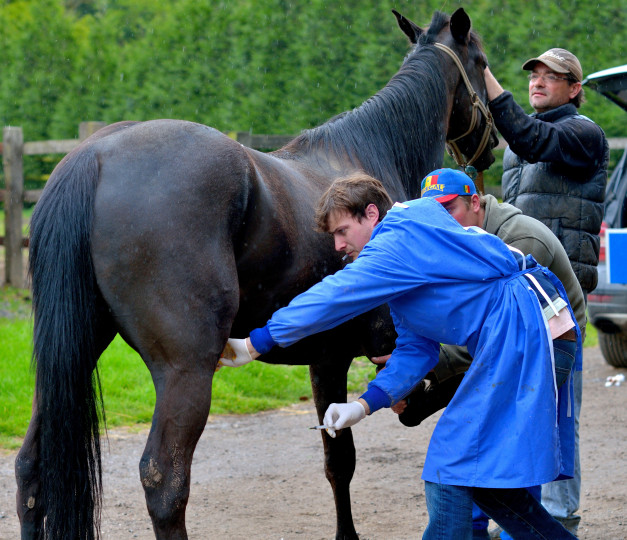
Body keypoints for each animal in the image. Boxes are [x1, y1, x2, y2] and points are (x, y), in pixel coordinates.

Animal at [14, 7, 498, 540]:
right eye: (481, 61)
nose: (493, 144)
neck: (373, 158)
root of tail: (92, 156)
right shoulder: (361, 353)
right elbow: (355, 455)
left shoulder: (326, 358)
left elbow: (338, 458)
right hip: (185, 372)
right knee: (164, 480)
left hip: (72, 351)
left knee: (31, 469)